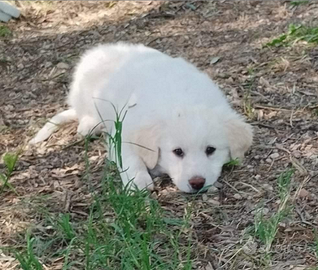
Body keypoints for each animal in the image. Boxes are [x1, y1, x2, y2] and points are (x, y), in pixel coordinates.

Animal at [30, 42, 253, 193]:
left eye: (210, 150)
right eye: (177, 152)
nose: (197, 183)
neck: (182, 101)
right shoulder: (122, 134)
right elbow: (130, 158)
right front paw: (139, 181)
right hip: (85, 93)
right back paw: (89, 125)